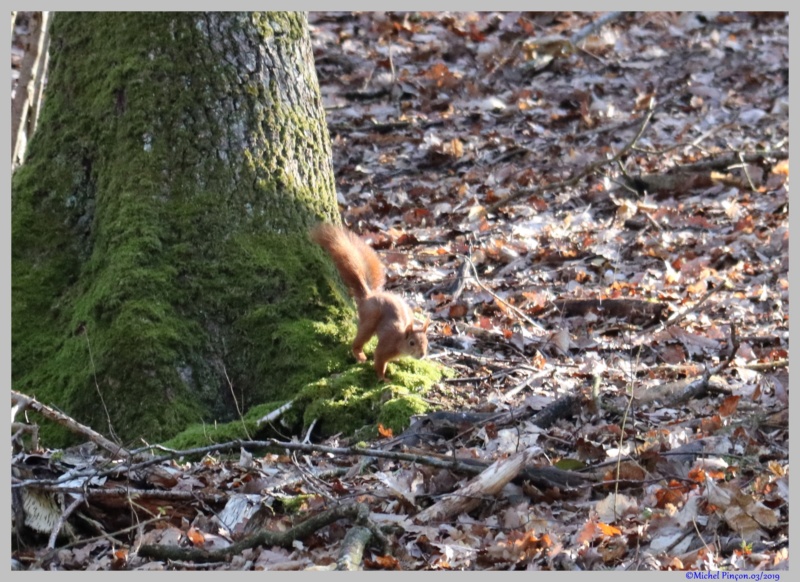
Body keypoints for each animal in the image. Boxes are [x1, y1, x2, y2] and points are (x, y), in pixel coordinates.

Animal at [310, 225, 428, 384]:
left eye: (427, 342)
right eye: (412, 343)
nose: (422, 354)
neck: (399, 340)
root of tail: (368, 296)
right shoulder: (386, 347)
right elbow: (378, 360)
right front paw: (383, 378)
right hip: (369, 319)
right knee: (359, 340)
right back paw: (359, 355)